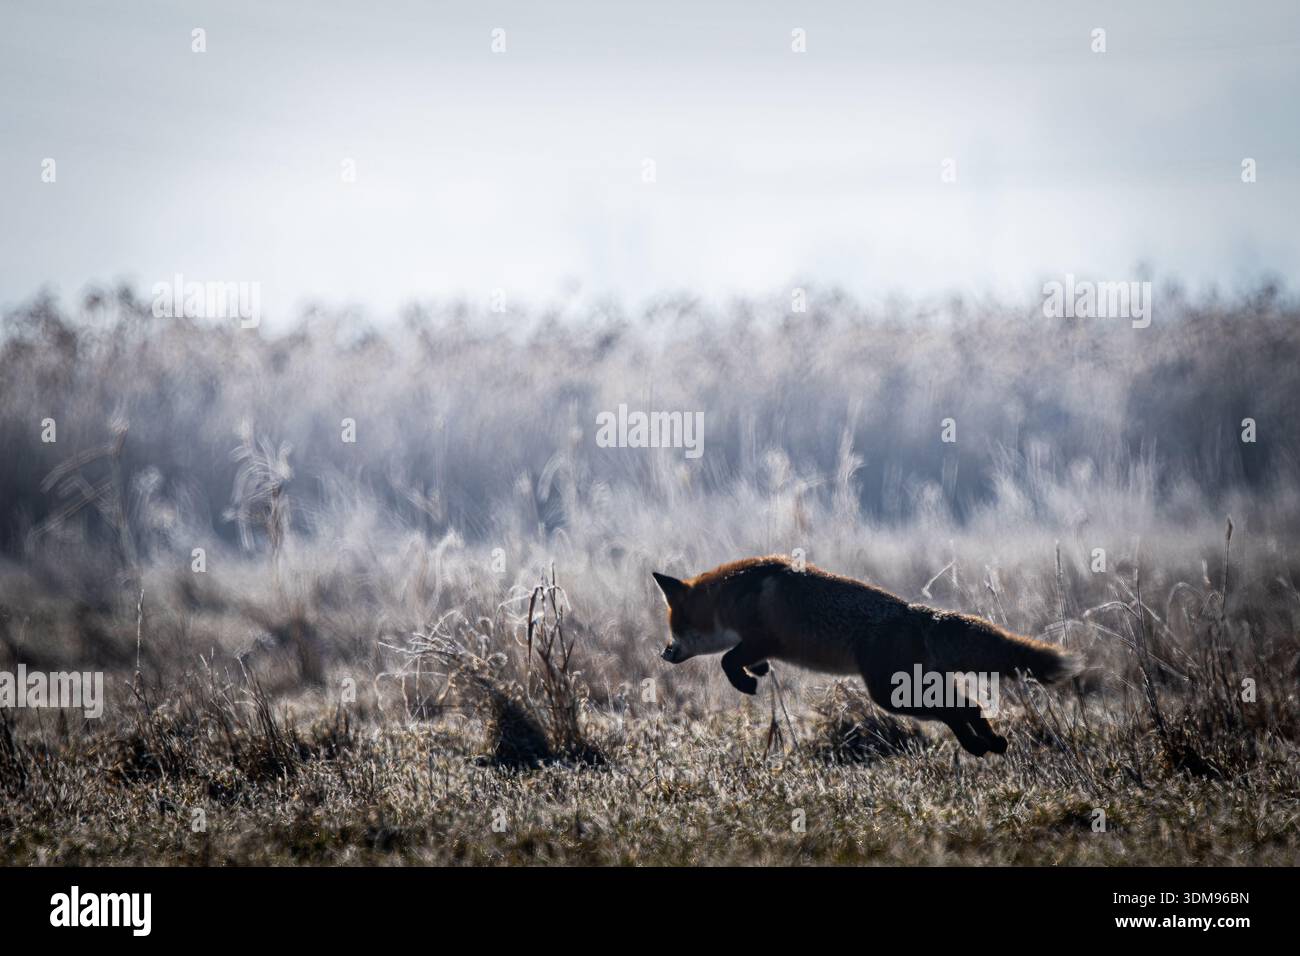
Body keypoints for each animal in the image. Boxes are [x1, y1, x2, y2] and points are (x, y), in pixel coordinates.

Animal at [652, 555, 1083, 756]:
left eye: (675, 628)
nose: (665, 653)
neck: (730, 598)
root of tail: (915, 613)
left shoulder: (762, 638)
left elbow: (727, 660)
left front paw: (745, 681)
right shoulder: (757, 645)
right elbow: (740, 658)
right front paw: (756, 673)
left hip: (891, 695)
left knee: (956, 710)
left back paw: (980, 745)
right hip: (911, 687)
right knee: (969, 706)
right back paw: (989, 744)